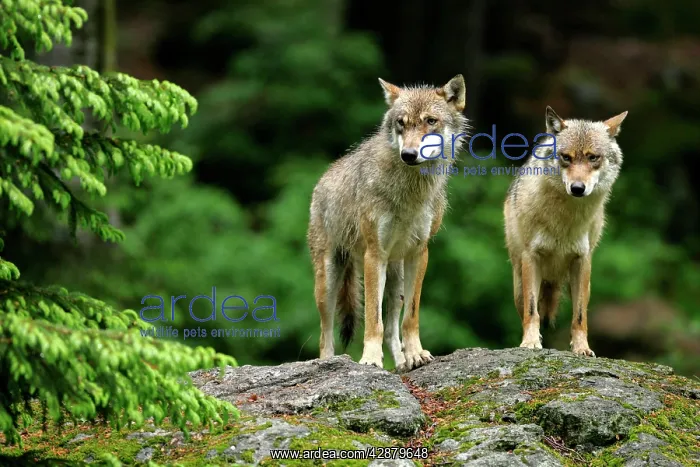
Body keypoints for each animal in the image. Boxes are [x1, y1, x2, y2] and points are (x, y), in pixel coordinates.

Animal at [307, 75, 469, 371]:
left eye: (431, 121)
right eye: (401, 123)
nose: (409, 154)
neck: (410, 192)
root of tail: (322, 181)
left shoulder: (419, 253)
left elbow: (410, 318)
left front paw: (416, 353)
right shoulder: (375, 254)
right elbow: (373, 319)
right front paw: (370, 359)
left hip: (397, 277)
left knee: (393, 324)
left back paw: (403, 362)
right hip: (328, 284)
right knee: (326, 334)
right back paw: (328, 362)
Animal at [504, 106, 628, 357]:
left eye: (593, 157)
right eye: (566, 157)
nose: (577, 188)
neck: (565, 220)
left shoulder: (583, 260)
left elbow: (579, 316)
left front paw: (582, 349)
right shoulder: (531, 258)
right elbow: (532, 311)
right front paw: (530, 343)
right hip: (519, 285)